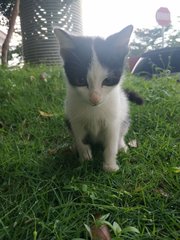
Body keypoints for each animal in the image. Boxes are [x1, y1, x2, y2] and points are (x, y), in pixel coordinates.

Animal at [54, 25, 136, 172]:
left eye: (107, 81)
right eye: (81, 80)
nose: (94, 99)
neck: (95, 110)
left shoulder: (113, 120)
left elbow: (111, 143)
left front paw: (110, 167)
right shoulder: (75, 118)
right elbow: (80, 138)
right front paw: (84, 158)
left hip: (124, 110)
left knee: (122, 130)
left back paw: (121, 145)